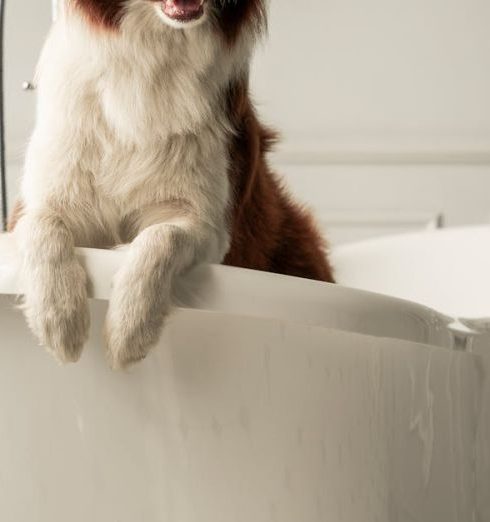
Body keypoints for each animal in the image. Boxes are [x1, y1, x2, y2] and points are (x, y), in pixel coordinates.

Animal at [9, 0, 334, 368]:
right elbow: (43, 226)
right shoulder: (42, 199)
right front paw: (59, 319)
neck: (152, 54)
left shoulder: (210, 224)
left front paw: (130, 329)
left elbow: (161, 237)